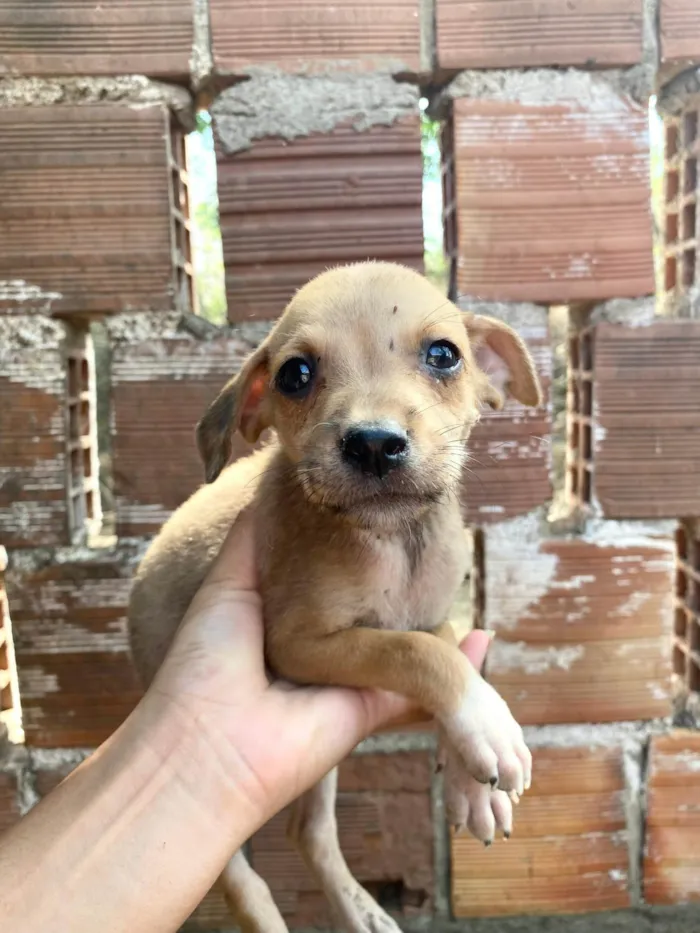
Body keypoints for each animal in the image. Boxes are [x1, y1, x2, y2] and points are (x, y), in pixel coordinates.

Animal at [127, 260, 540, 932]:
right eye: (295, 374)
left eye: (444, 355)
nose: (373, 443)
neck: (392, 540)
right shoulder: (297, 644)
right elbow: (416, 653)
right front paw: (486, 723)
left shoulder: (431, 615)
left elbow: (446, 646)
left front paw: (471, 787)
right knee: (241, 879)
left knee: (309, 831)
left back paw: (361, 911)